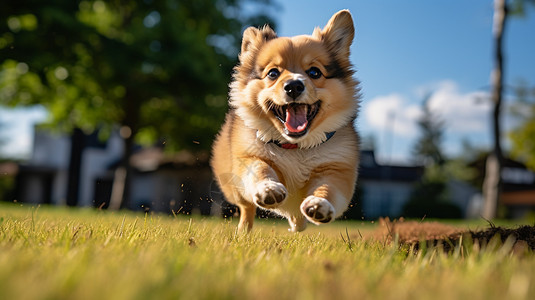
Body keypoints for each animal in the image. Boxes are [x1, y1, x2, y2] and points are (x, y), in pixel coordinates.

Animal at [210, 9, 360, 232]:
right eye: (273, 73)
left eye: (314, 72)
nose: (294, 86)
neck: (295, 147)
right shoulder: (249, 156)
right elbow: (261, 169)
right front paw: (268, 188)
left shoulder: (337, 170)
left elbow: (328, 188)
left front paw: (319, 204)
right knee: (247, 207)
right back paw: (244, 231)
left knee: (298, 219)